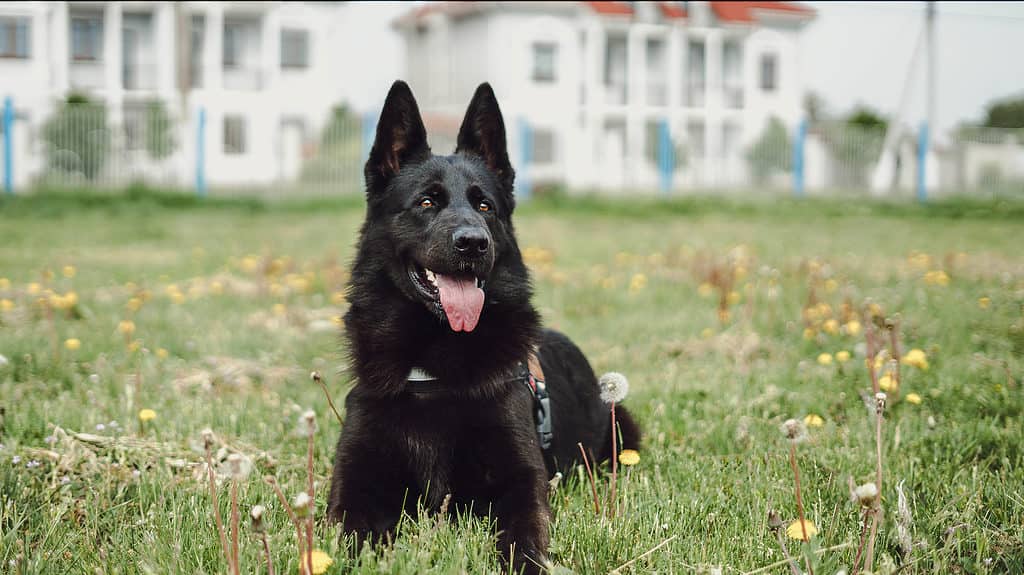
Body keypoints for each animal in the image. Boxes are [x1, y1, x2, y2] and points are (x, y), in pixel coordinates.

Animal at [325, 81, 638, 572]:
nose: (473, 243)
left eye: (485, 205)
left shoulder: (523, 482)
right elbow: (351, 537)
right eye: (427, 202)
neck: (434, 362)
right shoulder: (354, 484)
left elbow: (523, 535)